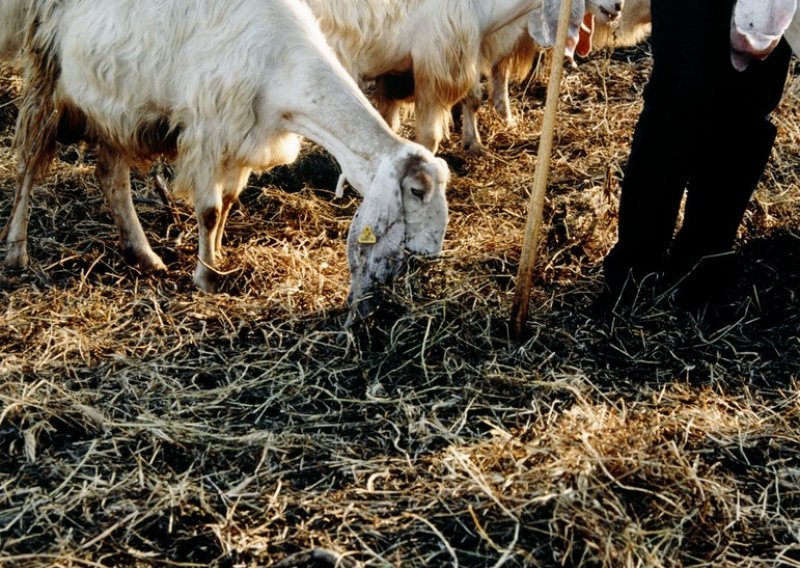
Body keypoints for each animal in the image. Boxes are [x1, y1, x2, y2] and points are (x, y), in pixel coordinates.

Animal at [3, 0, 450, 324]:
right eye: (416, 190)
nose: (430, 252)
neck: (285, 70)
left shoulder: (244, 138)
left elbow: (229, 204)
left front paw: (217, 259)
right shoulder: (210, 130)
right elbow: (210, 210)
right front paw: (205, 277)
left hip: (115, 108)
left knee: (110, 177)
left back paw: (144, 255)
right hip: (46, 75)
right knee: (27, 167)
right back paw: (16, 252)